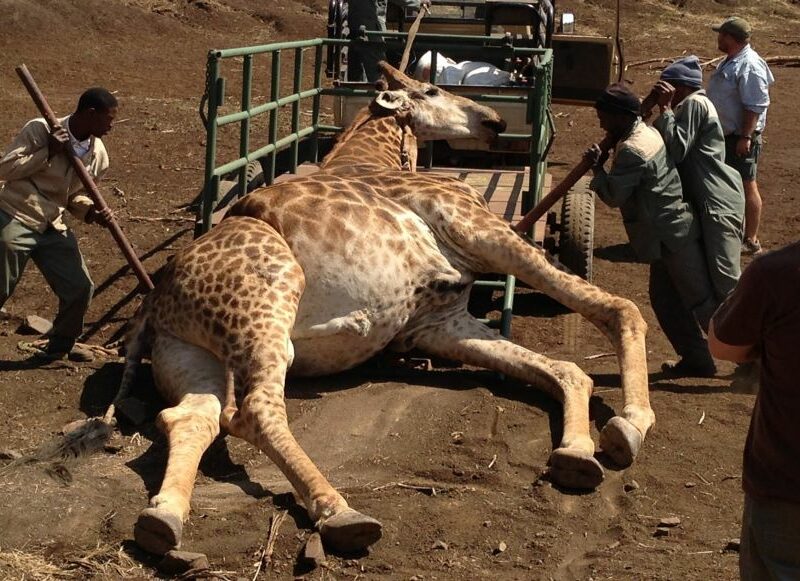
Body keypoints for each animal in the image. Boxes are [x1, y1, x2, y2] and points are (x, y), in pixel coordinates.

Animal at [127, 63, 654, 557]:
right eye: (434, 89)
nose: (495, 121)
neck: (371, 160)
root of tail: (158, 298)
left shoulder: (438, 319)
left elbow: (566, 369)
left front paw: (577, 448)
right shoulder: (478, 226)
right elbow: (621, 309)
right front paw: (631, 421)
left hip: (191, 352)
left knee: (191, 416)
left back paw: (163, 518)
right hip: (269, 299)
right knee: (254, 409)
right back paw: (341, 512)